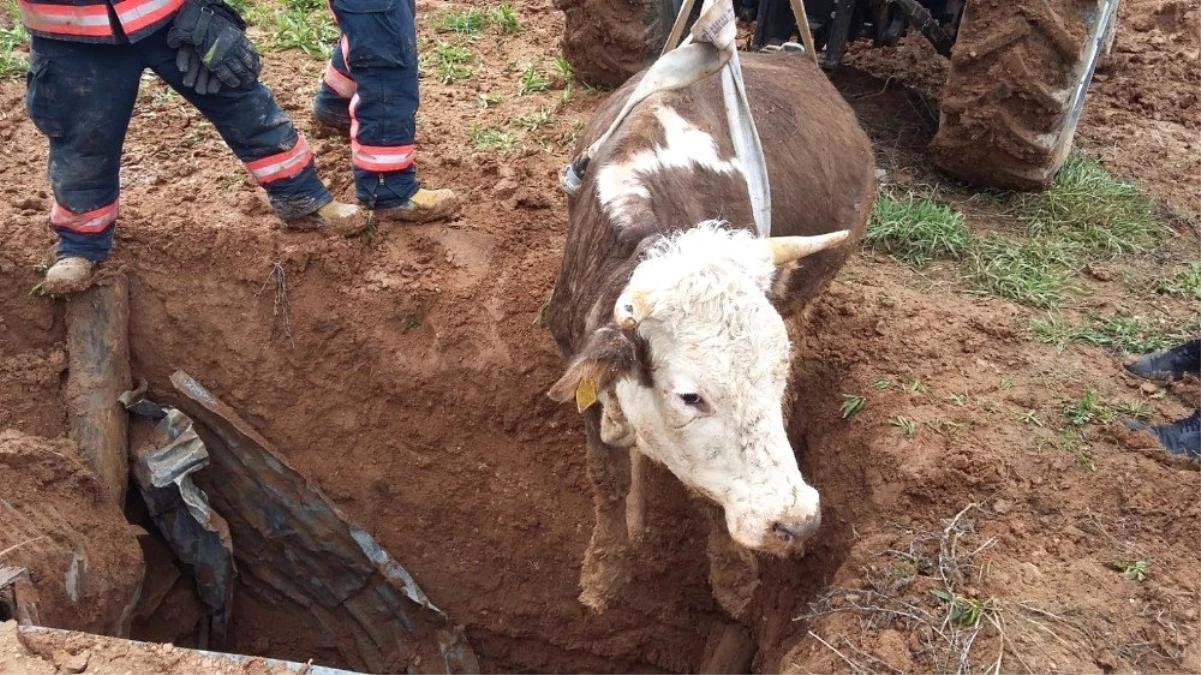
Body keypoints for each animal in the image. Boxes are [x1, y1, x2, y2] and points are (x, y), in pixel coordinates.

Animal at [545, 51, 874, 593]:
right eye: (690, 396)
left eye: (777, 373)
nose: (797, 522)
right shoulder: (584, 366)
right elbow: (606, 478)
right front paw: (605, 569)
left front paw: (733, 577)